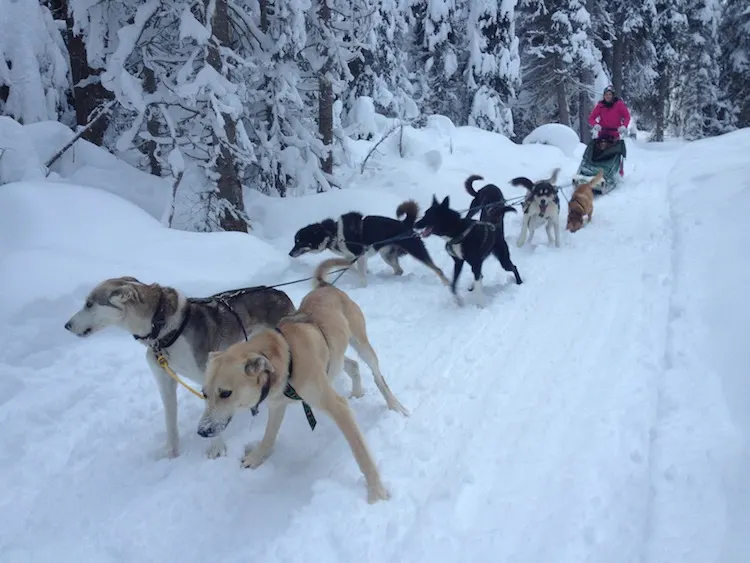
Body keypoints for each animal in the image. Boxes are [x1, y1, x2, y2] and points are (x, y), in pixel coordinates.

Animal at [64, 276, 296, 458]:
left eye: (89, 304)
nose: (66, 325)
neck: (162, 330)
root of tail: (280, 292)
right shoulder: (165, 380)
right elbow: (170, 420)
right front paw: (171, 451)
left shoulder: (209, 378)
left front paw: (216, 447)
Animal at [200, 258, 408, 504]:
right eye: (204, 393)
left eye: (225, 393)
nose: (202, 431)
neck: (288, 357)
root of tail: (325, 287)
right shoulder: (277, 405)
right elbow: (269, 436)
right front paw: (257, 456)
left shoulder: (337, 407)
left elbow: (361, 453)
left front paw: (376, 491)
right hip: (336, 355)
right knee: (352, 365)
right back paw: (357, 392)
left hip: (362, 345)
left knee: (378, 377)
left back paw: (395, 406)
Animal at [290, 200, 450, 286]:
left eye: (299, 241)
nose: (290, 253)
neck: (333, 234)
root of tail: (405, 224)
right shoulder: (351, 257)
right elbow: (352, 268)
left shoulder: (360, 254)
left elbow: (360, 273)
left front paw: (362, 285)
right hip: (387, 255)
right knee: (399, 270)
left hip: (416, 251)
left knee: (437, 269)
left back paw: (446, 283)